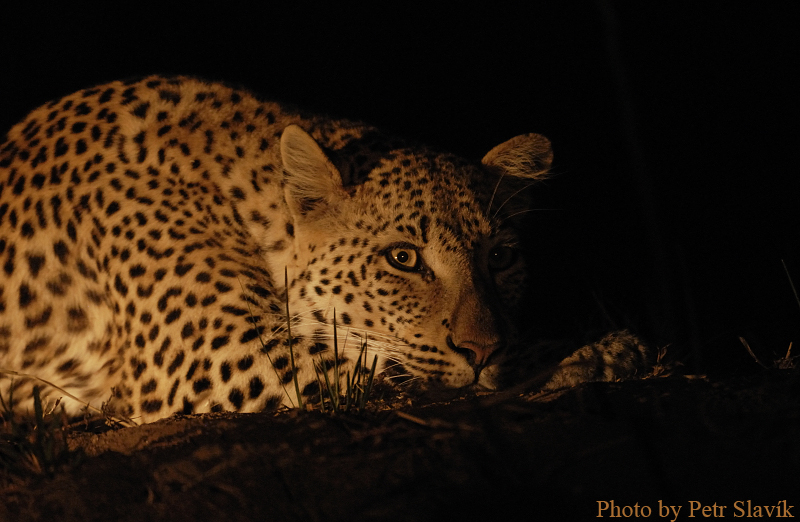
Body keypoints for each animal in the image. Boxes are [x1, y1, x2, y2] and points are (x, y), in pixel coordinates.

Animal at [0, 76, 650, 424]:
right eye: (403, 258)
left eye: (500, 258)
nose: (482, 350)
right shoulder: (221, 354)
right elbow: (405, 380)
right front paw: (586, 360)